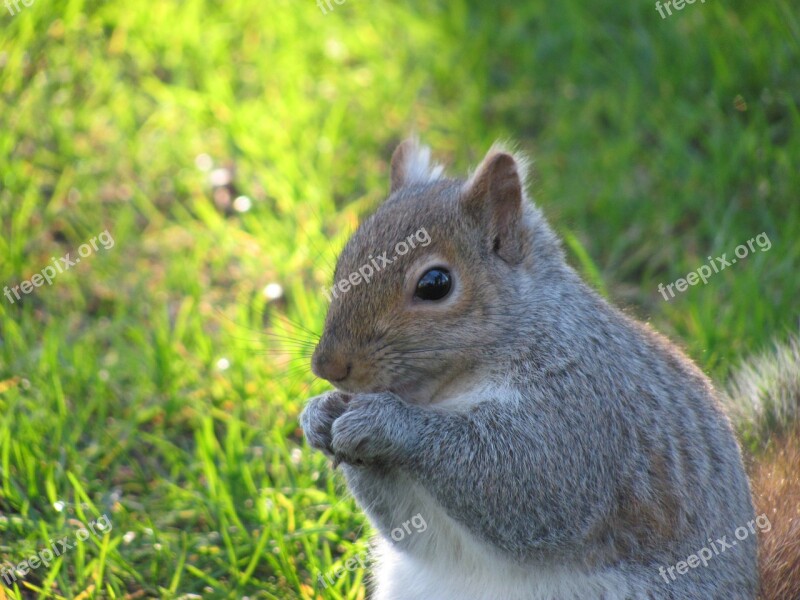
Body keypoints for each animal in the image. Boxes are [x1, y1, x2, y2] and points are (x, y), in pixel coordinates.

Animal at [302, 139, 800, 600]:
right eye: (345, 260)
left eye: (435, 284)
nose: (328, 366)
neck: (449, 390)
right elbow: (410, 528)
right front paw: (319, 415)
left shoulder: (584, 410)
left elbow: (530, 482)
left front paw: (384, 421)